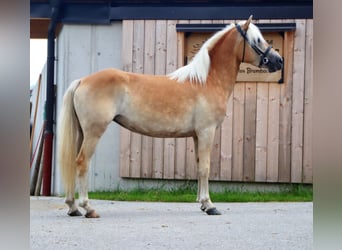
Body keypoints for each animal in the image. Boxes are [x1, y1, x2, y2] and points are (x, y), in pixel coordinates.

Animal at [58, 15, 284, 218]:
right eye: (257, 40)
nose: (279, 60)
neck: (207, 81)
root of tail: (82, 80)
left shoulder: (197, 135)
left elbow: (198, 165)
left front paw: (202, 203)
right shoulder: (206, 132)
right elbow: (205, 167)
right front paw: (210, 205)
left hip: (81, 133)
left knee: (73, 162)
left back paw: (72, 207)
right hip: (94, 132)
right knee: (82, 162)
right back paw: (88, 208)